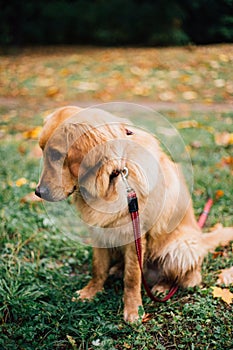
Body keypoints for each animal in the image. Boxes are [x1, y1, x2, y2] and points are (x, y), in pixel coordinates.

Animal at [35, 106, 233, 322]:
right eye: (42, 151)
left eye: (56, 155)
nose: (38, 192)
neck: (113, 177)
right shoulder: (99, 232)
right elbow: (98, 267)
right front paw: (91, 292)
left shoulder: (135, 234)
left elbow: (132, 276)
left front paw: (133, 309)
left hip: (181, 247)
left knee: (187, 277)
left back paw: (162, 287)